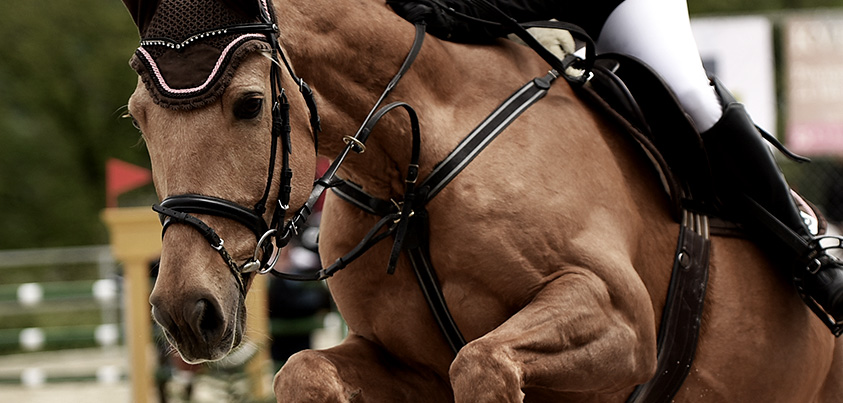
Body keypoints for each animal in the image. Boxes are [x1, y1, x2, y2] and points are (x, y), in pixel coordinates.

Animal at [123, 0, 843, 400]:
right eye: (137, 119)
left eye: (249, 105)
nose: (186, 312)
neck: (408, 174)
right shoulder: (407, 363)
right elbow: (301, 373)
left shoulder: (620, 320)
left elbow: (483, 361)